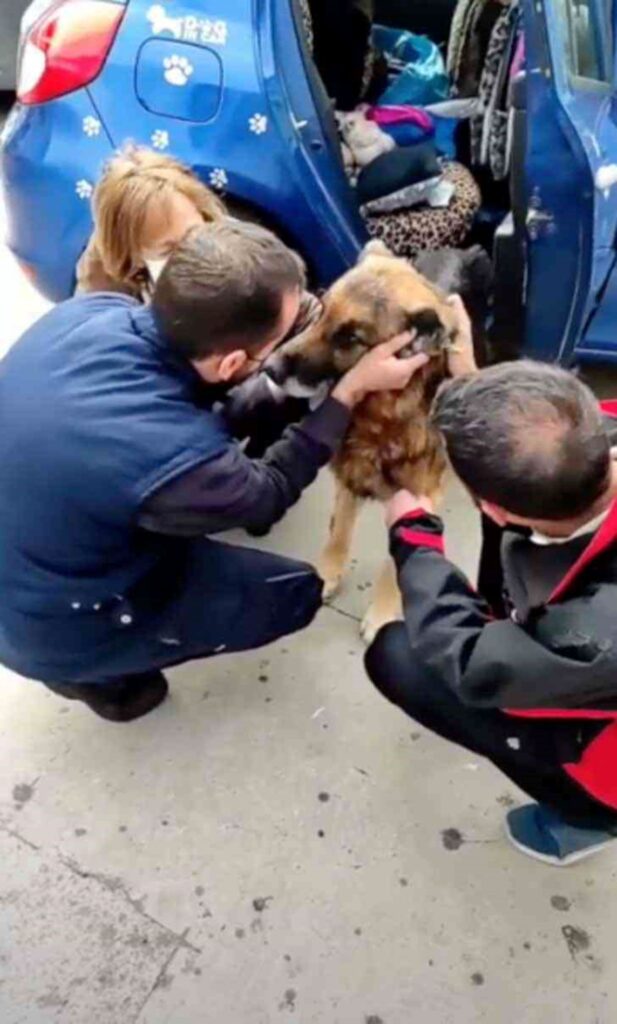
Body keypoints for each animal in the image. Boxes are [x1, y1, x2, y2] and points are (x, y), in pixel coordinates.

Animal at [268, 239, 460, 638]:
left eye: (350, 338)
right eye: (322, 311)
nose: (269, 369)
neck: (384, 420)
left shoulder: (418, 497)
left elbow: (396, 563)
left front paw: (384, 613)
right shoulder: (349, 476)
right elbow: (338, 533)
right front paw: (326, 575)